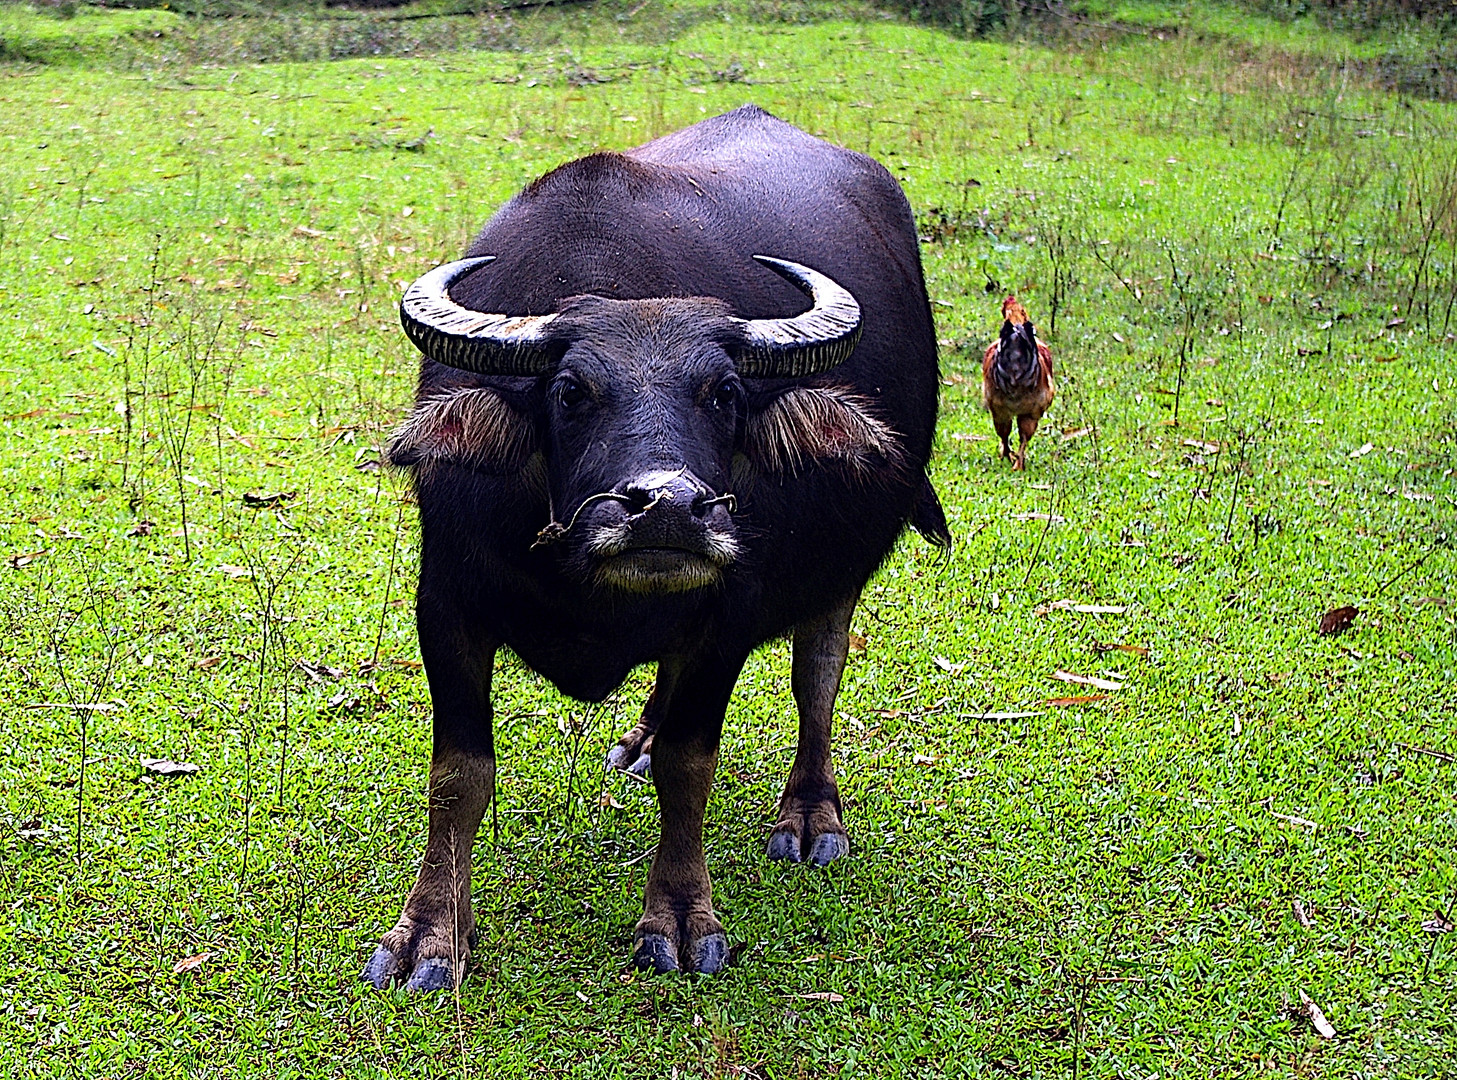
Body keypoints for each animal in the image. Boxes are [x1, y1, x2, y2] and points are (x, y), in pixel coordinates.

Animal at [364, 103, 949, 985]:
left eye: (725, 392)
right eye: (570, 392)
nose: (669, 510)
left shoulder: (725, 619)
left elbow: (689, 765)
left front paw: (678, 915)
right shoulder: (447, 606)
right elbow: (459, 776)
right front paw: (430, 932)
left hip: (841, 572)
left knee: (817, 676)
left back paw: (810, 814)